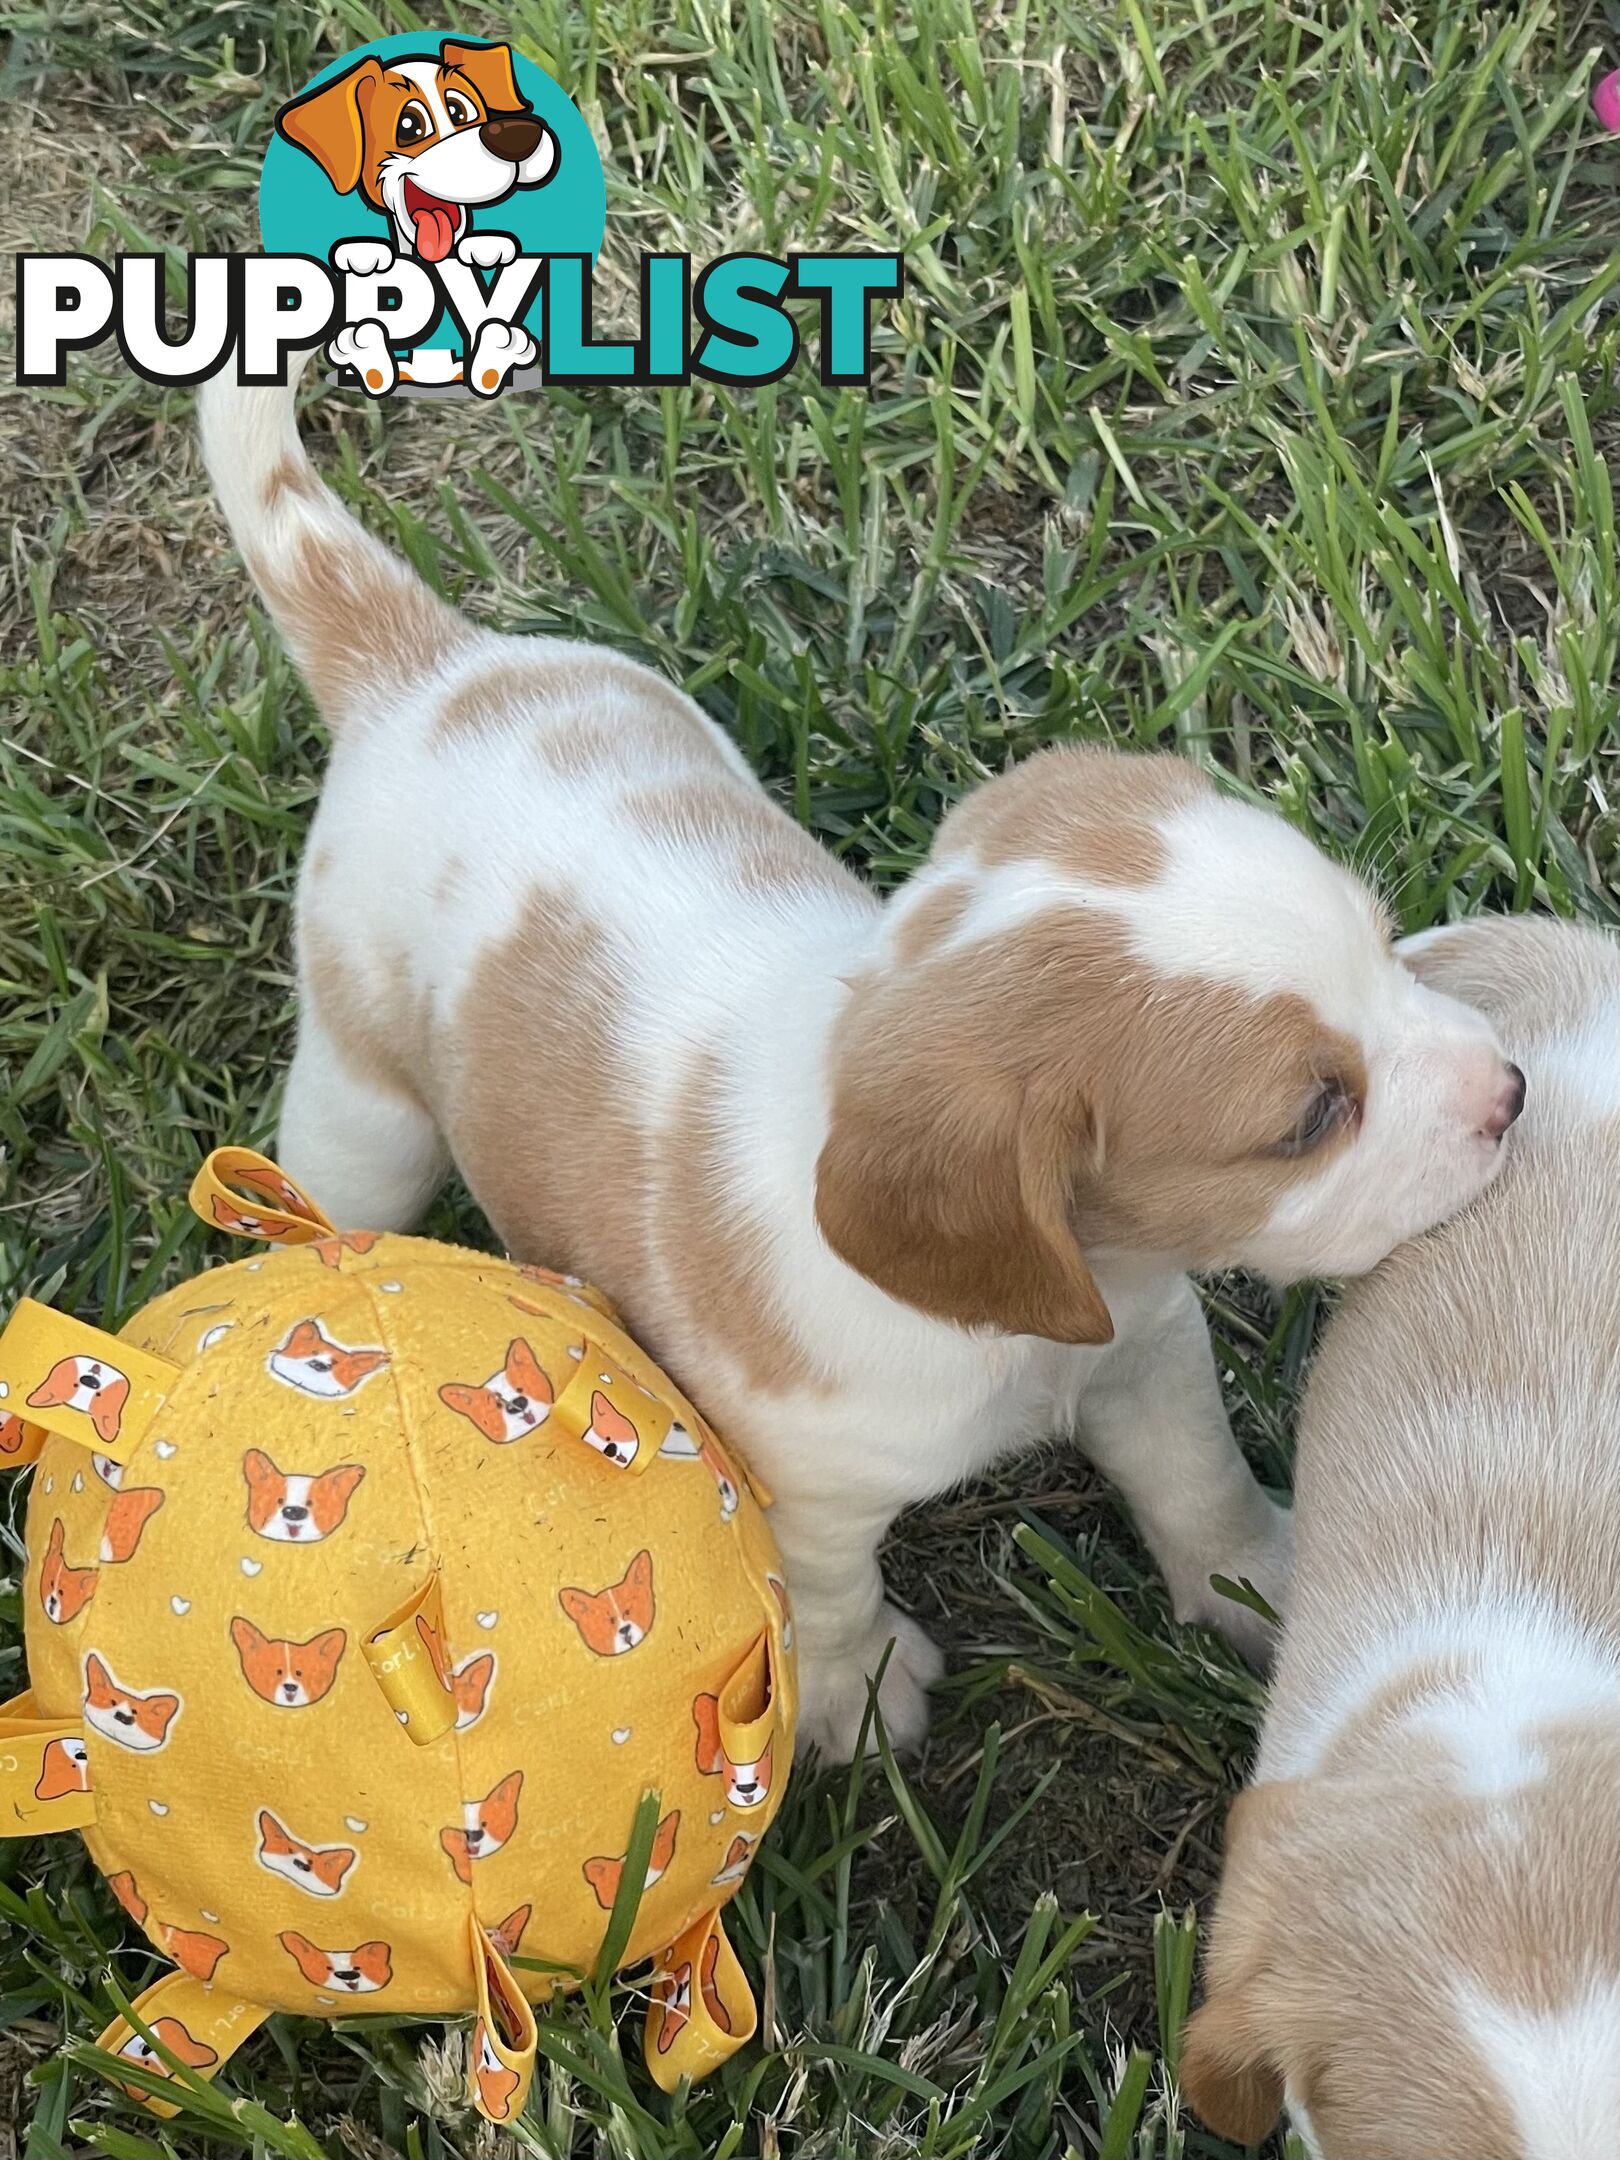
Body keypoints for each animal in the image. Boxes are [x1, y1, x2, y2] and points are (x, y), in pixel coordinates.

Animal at [196, 367, 1529, 1753]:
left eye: (1386, 941)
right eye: (1315, 1114)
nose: (1514, 1092)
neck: (1033, 1317)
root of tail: (421, 665)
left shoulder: (1151, 1359)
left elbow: (1198, 1480)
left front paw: (1259, 1582)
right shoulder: (805, 1487)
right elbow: (825, 1596)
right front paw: (860, 1699)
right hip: (362, 1116)